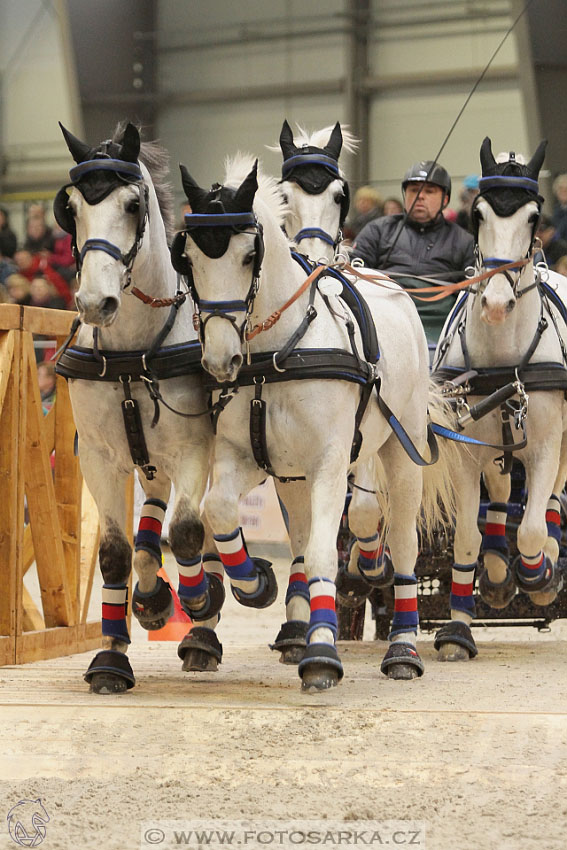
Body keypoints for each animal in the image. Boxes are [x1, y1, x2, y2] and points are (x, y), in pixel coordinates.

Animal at [53, 121, 226, 688]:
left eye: (132, 205)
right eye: (71, 208)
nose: (94, 303)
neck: (132, 348)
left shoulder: (196, 448)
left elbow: (190, 532)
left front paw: (200, 605)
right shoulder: (100, 458)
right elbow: (115, 553)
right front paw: (111, 656)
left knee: (207, 524)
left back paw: (203, 628)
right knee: (152, 516)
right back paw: (152, 594)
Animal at [173, 152, 458, 684]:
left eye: (249, 256)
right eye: (191, 259)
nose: (221, 361)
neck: (277, 353)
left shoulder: (328, 460)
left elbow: (327, 549)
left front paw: (322, 652)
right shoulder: (248, 456)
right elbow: (219, 511)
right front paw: (252, 583)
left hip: (402, 445)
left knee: (402, 541)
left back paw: (403, 646)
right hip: (296, 474)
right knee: (319, 532)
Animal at [432, 136, 564, 660]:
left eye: (533, 216)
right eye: (478, 214)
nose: (494, 303)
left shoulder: (546, 444)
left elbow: (530, 529)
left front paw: (540, 574)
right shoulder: (465, 451)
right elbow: (467, 538)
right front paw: (459, 627)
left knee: (548, 501)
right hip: (495, 446)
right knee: (502, 494)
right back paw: (495, 567)